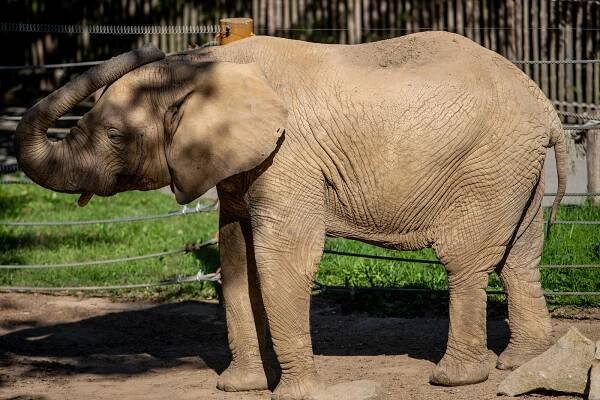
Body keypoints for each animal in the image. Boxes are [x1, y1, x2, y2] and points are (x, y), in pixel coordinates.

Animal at [15, 32, 568, 400]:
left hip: (487, 166)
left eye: (114, 136)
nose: (148, 46)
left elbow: (283, 258)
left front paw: (300, 393)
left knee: (467, 261)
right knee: (521, 258)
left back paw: (455, 379)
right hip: (517, 167)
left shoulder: (289, 157)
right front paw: (238, 387)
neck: (205, 66)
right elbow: (236, 255)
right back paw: (523, 362)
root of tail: (546, 106)